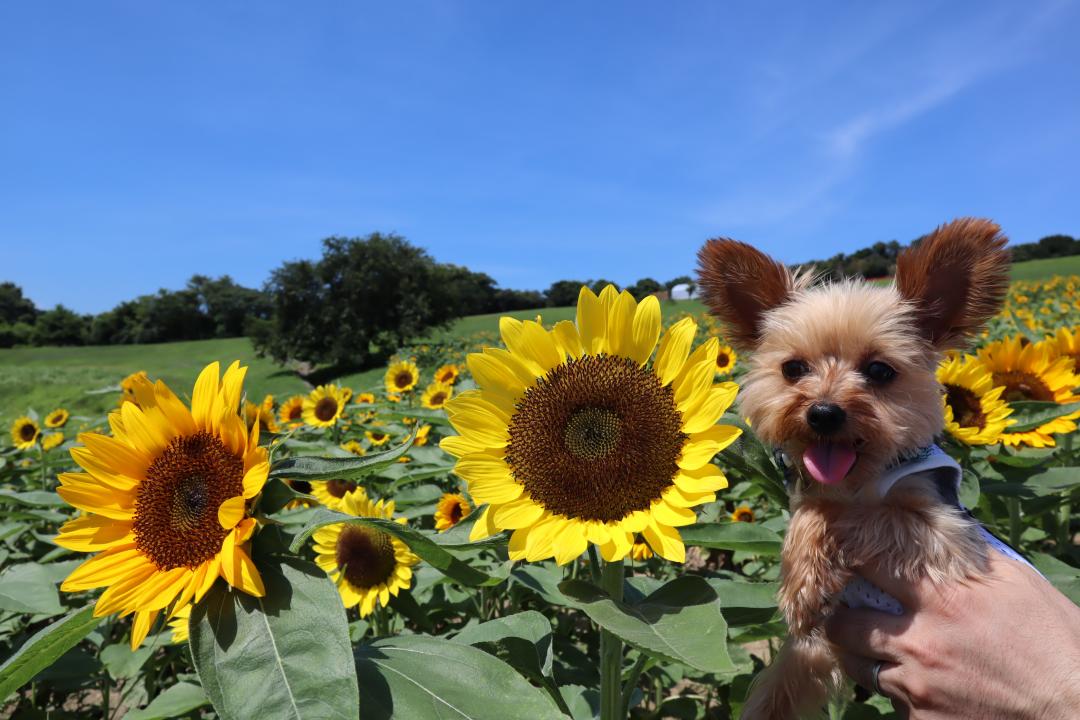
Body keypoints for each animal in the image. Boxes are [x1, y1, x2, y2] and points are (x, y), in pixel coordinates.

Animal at [699, 216, 1010, 716]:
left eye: (880, 371)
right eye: (793, 369)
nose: (824, 413)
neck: (857, 480)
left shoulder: (947, 536)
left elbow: (856, 514)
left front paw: (805, 575)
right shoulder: (813, 648)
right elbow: (774, 691)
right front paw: (802, 578)